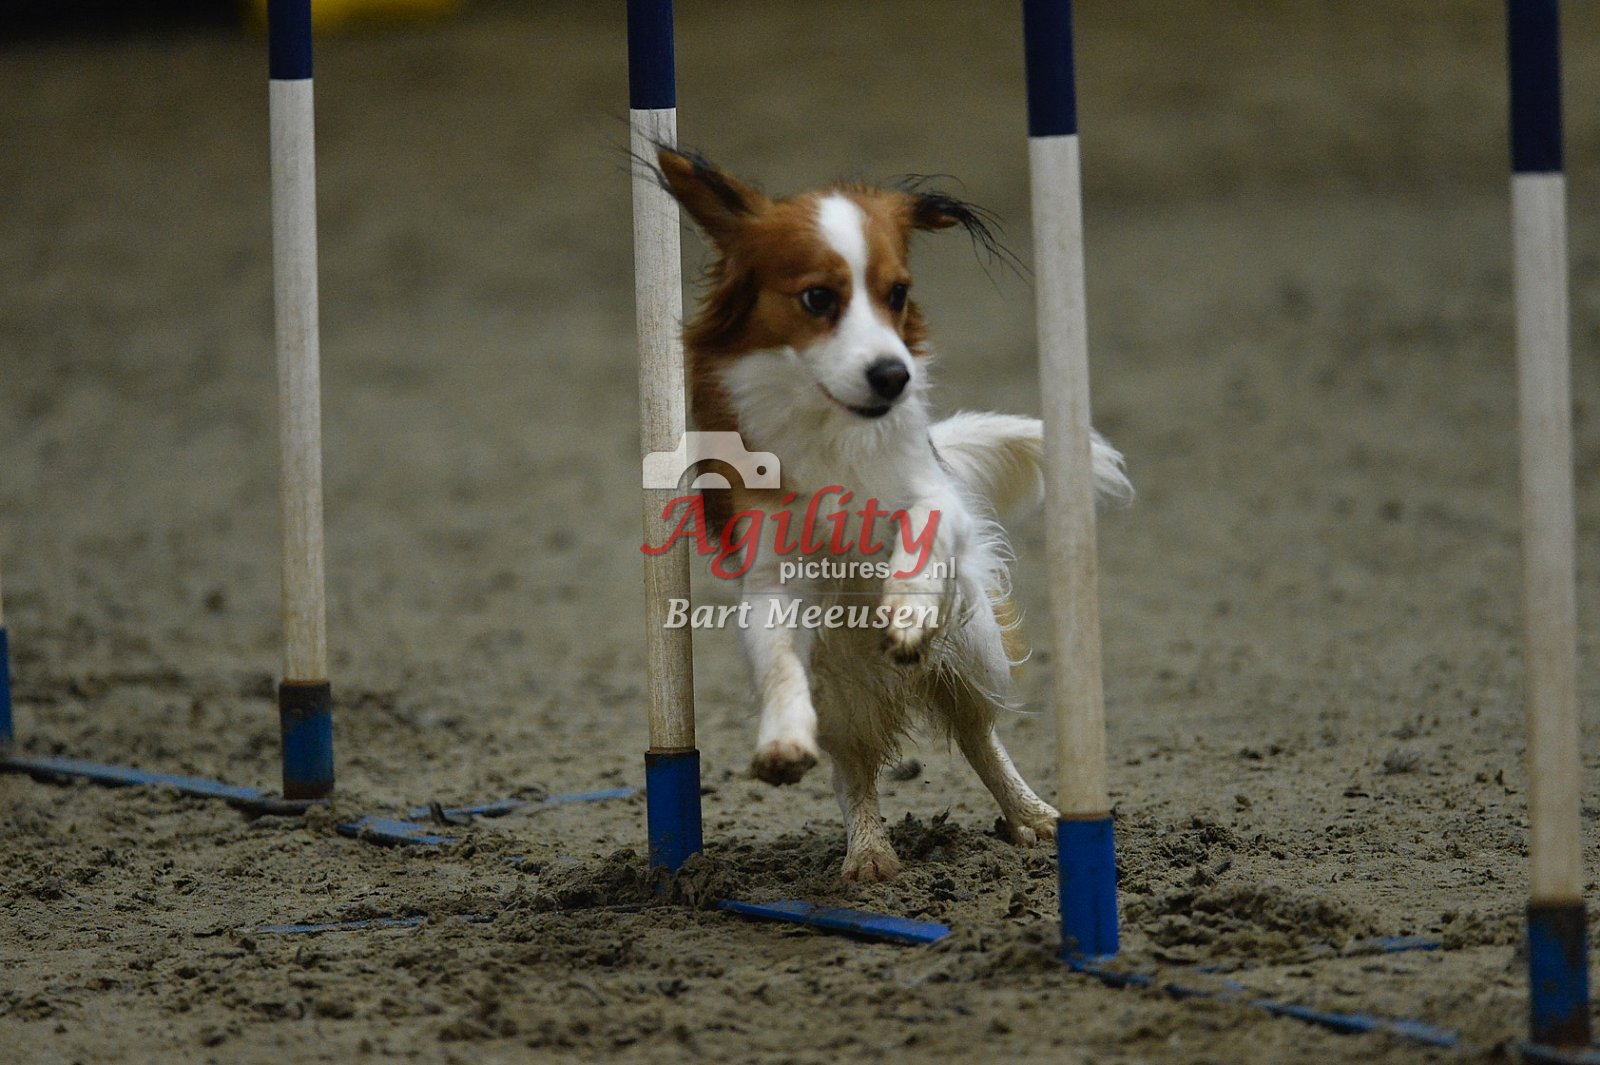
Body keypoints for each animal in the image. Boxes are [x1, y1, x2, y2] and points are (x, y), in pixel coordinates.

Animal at [653, 147, 1131, 882]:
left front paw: (904, 611)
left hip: (973, 647)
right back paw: (869, 849)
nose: (892, 375)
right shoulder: (772, 577)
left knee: (978, 732)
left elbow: (914, 537)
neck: (835, 431)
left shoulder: (938, 502)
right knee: (854, 770)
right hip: (843, 695)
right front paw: (782, 743)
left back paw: (1030, 814)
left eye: (898, 294)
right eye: (818, 298)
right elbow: (779, 662)